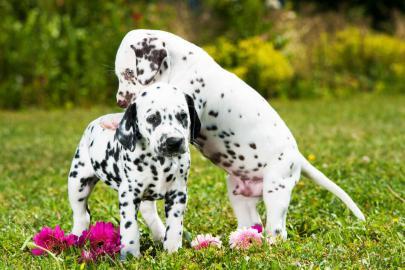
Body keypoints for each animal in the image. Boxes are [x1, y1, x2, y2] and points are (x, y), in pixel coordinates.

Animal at [68, 83, 200, 260]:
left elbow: (174, 225)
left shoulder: (178, 193)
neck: (159, 162)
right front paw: (131, 255)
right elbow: (130, 227)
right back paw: (75, 239)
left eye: (183, 116)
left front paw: (172, 250)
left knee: (149, 212)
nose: (174, 142)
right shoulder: (129, 195)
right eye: (152, 118)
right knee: (81, 215)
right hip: (78, 183)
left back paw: (160, 234)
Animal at [102, 29, 364, 243]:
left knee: (278, 231)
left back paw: (270, 244)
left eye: (128, 73)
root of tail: (297, 157)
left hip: (276, 189)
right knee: (251, 224)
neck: (182, 66)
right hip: (238, 193)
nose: (120, 101)